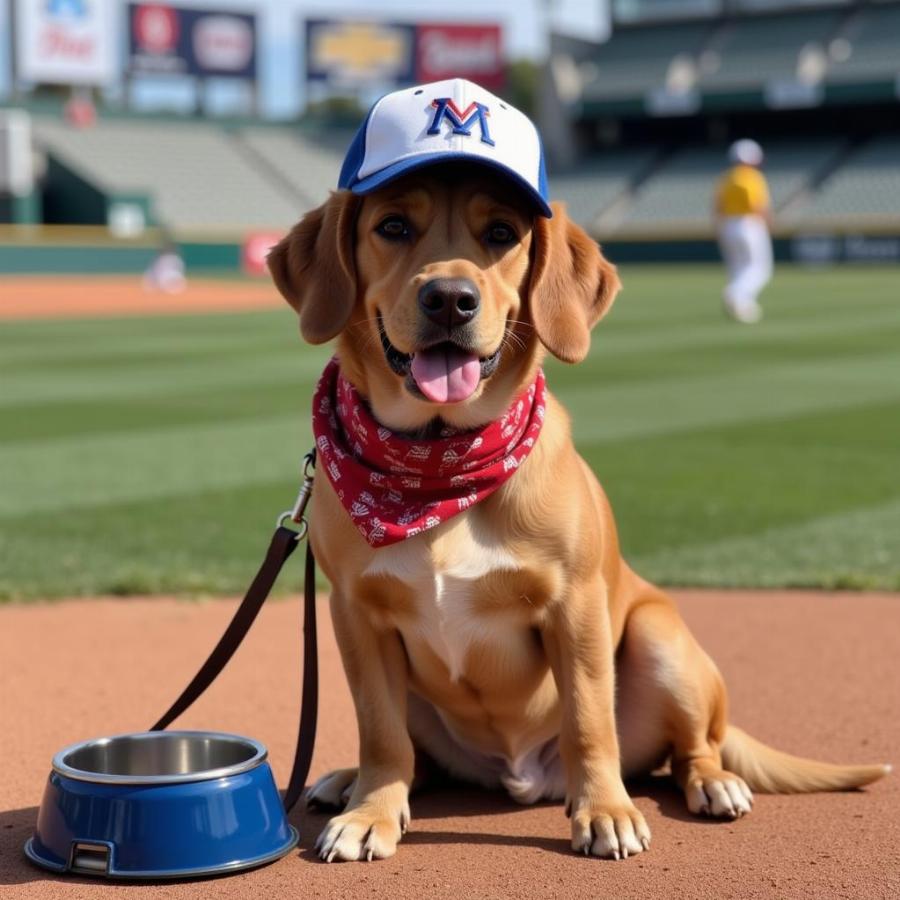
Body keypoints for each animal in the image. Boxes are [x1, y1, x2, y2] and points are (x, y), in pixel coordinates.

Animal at [266, 163, 884, 864]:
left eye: (501, 233)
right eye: (392, 226)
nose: (450, 299)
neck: (438, 465)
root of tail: (522, 776)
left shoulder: (576, 606)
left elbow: (589, 719)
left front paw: (606, 811)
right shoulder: (357, 616)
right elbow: (380, 730)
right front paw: (371, 811)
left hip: (658, 637)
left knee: (691, 748)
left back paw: (713, 783)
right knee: (419, 757)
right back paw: (349, 782)